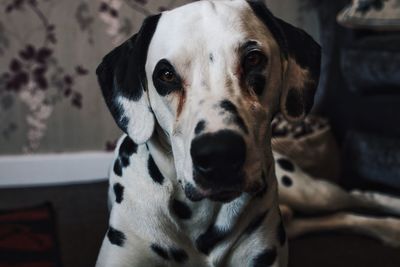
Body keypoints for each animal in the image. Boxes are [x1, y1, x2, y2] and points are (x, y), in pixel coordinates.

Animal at [94, 0, 400, 267]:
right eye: (166, 74)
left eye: (253, 58)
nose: (218, 154)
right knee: (337, 216)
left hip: (310, 192)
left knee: (358, 196)